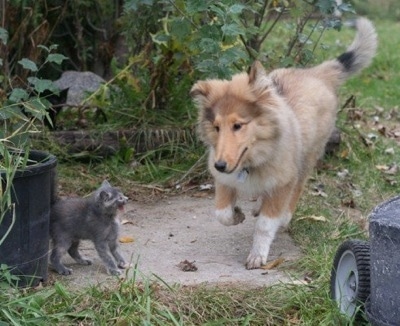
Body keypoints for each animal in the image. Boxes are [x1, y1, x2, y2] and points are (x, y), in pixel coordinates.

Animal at [190, 17, 376, 270]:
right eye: (216, 127)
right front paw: (237, 214)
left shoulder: (282, 182)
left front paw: (257, 256)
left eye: (238, 125)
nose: (219, 165)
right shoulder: (225, 180)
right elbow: (222, 213)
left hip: (308, 156)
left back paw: (283, 216)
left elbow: (266, 224)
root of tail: (316, 73)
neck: (253, 161)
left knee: (298, 187)